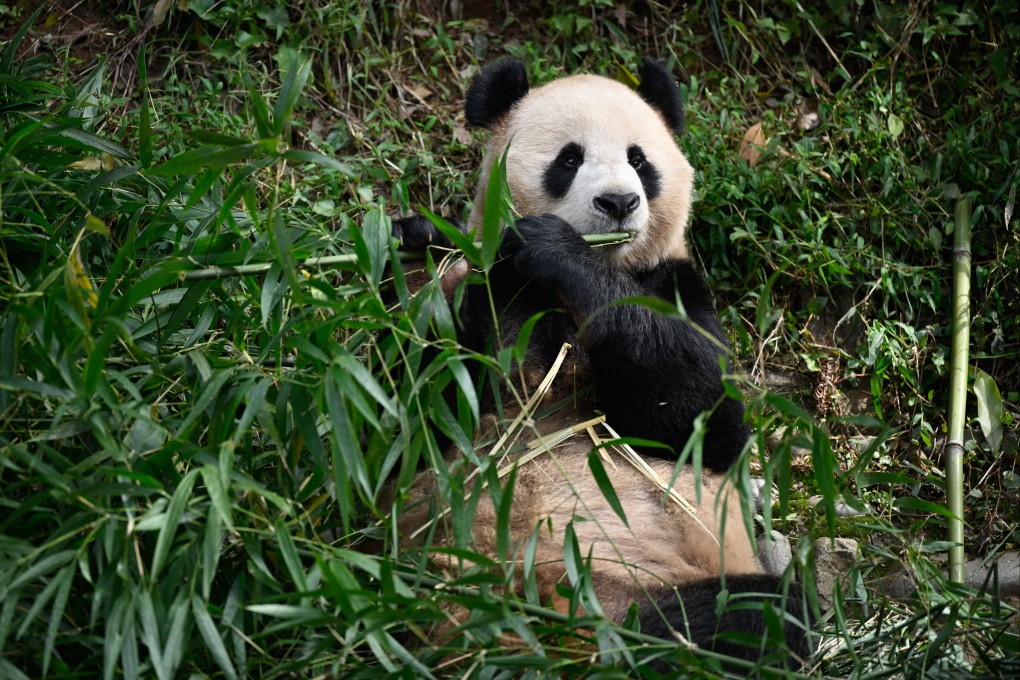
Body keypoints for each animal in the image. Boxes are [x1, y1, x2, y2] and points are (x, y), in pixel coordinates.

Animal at [391, 58, 810, 666]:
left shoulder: (675, 286)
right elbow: (413, 416)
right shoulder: (490, 289)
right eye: (570, 158)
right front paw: (414, 242)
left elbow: (701, 420)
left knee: (761, 617)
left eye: (639, 160)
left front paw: (557, 249)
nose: (618, 203)